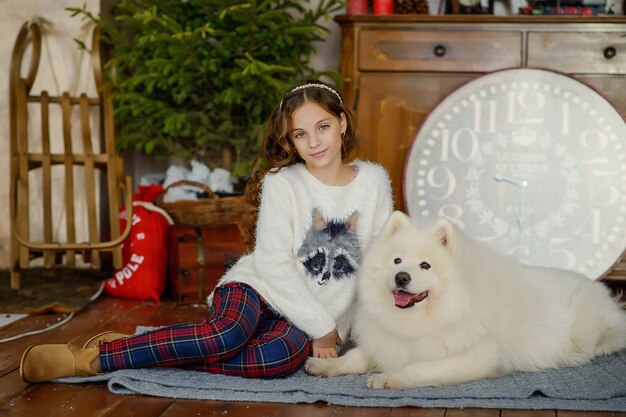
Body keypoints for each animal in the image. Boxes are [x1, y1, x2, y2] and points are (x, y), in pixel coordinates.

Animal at [304, 213, 624, 388]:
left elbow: (418, 369)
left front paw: (389, 378)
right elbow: (355, 357)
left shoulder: (469, 360)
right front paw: (325, 365)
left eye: (425, 265)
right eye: (397, 261)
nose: (401, 277)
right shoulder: (387, 343)